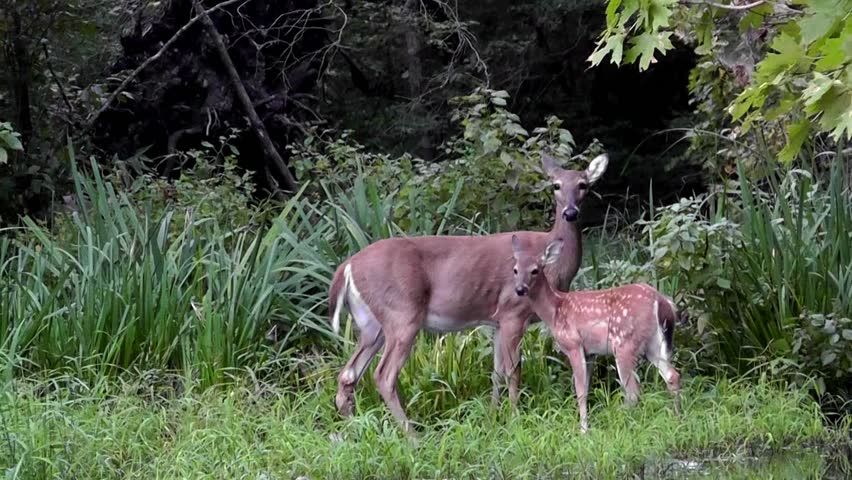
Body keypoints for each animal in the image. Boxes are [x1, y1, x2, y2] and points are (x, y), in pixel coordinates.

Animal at [327, 152, 609, 434]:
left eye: (583, 185)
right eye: (556, 185)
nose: (570, 212)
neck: (552, 266)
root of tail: (347, 266)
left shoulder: (497, 321)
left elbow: (496, 371)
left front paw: (493, 417)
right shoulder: (513, 312)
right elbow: (513, 370)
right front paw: (515, 419)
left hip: (370, 323)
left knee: (348, 375)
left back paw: (355, 429)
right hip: (402, 313)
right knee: (383, 376)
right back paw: (413, 436)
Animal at [510, 234, 682, 433]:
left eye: (535, 270)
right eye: (515, 270)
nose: (520, 289)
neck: (554, 311)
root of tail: (661, 301)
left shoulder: (573, 344)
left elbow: (580, 390)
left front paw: (583, 430)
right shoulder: (590, 352)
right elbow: (586, 387)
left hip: (624, 343)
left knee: (633, 391)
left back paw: (620, 421)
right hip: (654, 343)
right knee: (672, 376)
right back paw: (678, 417)